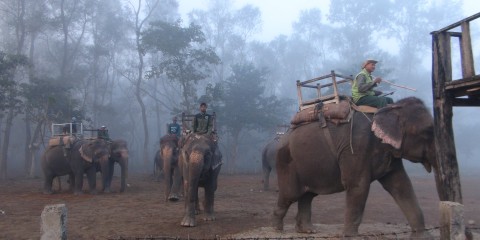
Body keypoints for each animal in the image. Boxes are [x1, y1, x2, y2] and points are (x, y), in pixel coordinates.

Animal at [272, 97, 436, 238]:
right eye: (428, 131)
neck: (391, 108)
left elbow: (401, 185)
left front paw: (423, 236)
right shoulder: (356, 146)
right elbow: (358, 186)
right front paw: (350, 236)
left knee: (308, 195)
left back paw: (307, 230)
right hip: (287, 163)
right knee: (290, 195)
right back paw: (277, 229)